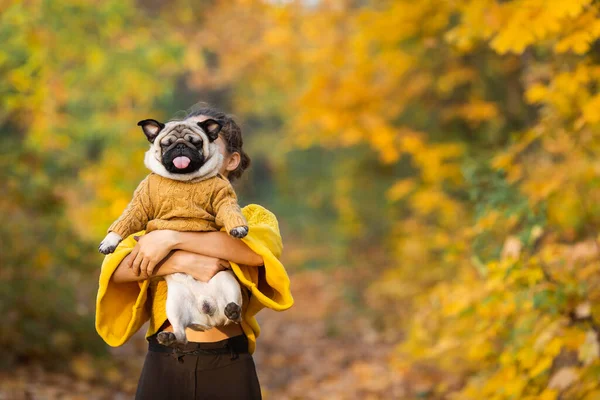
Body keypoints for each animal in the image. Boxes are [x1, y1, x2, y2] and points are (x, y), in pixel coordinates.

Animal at [98, 116, 248, 346]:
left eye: (196, 142)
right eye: (166, 144)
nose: (180, 146)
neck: (182, 181)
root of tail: (209, 315)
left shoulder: (222, 196)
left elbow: (229, 209)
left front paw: (238, 226)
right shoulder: (140, 203)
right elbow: (127, 219)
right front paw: (109, 242)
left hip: (227, 281)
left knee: (235, 314)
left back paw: (232, 310)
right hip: (175, 305)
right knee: (181, 335)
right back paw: (169, 337)